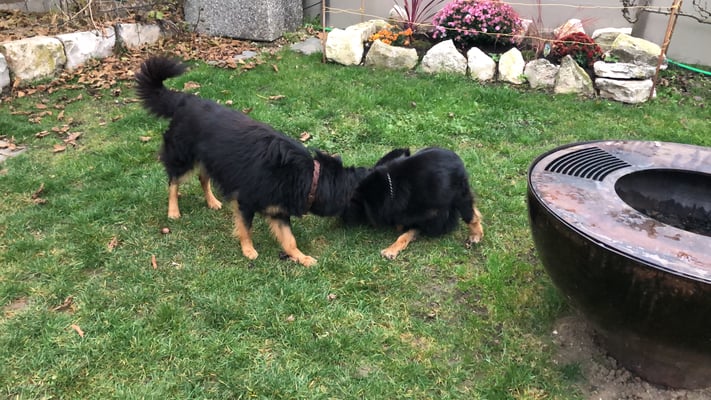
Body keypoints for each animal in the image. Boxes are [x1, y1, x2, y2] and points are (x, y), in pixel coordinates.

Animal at [135, 56, 369, 266]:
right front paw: (248, 250)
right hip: (183, 157)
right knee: (173, 181)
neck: (309, 177)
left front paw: (301, 257)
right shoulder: (245, 201)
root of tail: (184, 100)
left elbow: (289, 240)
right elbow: (246, 229)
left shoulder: (279, 210)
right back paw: (173, 211)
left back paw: (212, 201)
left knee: (203, 178)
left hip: (210, 159)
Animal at [341, 147, 484, 259]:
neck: (392, 188)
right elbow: (405, 233)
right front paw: (392, 248)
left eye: (354, 202)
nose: (343, 221)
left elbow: (470, 218)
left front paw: (476, 235)